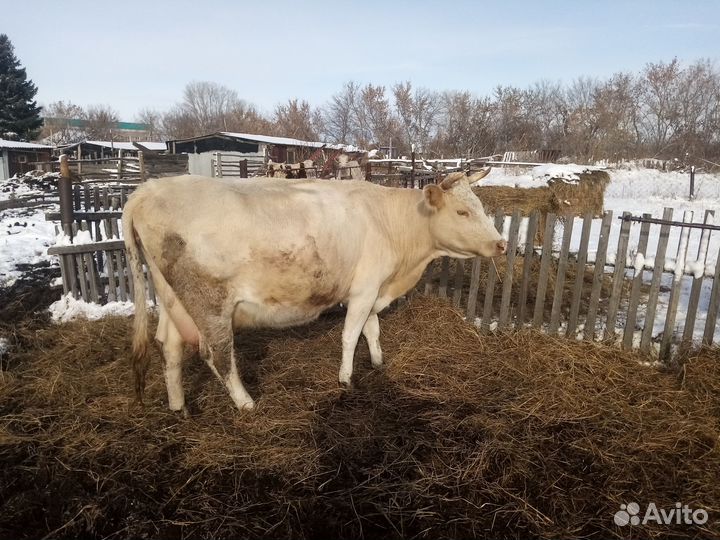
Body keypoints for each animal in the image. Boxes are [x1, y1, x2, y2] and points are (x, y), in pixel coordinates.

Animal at [122, 170, 506, 413]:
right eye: (462, 211)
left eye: (481, 207)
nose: (501, 244)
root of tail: (147, 189)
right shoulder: (365, 288)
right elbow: (351, 335)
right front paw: (346, 380)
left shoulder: (372, 288)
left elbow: (372, 330)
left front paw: (378, 363)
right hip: (210, 303)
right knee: (217, 354)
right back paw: (246, 404)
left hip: (173, 299)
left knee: (168, 347)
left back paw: (179, 407)